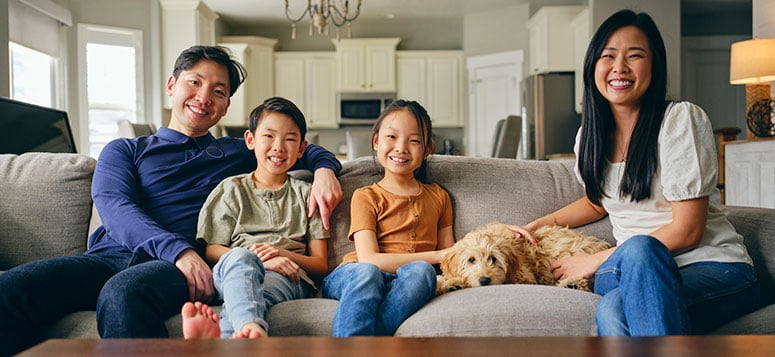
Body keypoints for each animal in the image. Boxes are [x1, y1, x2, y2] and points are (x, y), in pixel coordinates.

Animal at [436, 222, 612, 294]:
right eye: (471, 260)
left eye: (493, 259)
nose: (484, 280)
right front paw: (451, 283)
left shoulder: (524, 276)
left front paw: (456, 282)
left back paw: (573, 284)